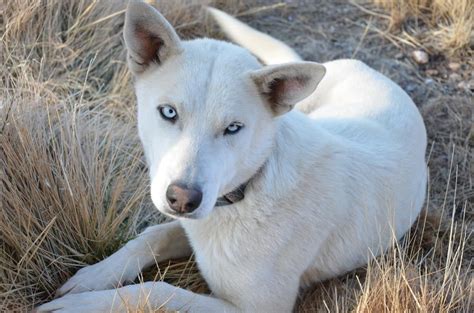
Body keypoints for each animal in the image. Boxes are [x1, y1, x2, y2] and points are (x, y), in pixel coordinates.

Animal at [37, 1, 428, 310]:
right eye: (168, 112)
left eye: (233, 128)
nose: (183, 199)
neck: (248, 189)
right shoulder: (192, 223)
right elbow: (152, 236)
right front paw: (93, 276)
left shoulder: (255, 309)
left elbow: (158, 290)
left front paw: (82, 305)